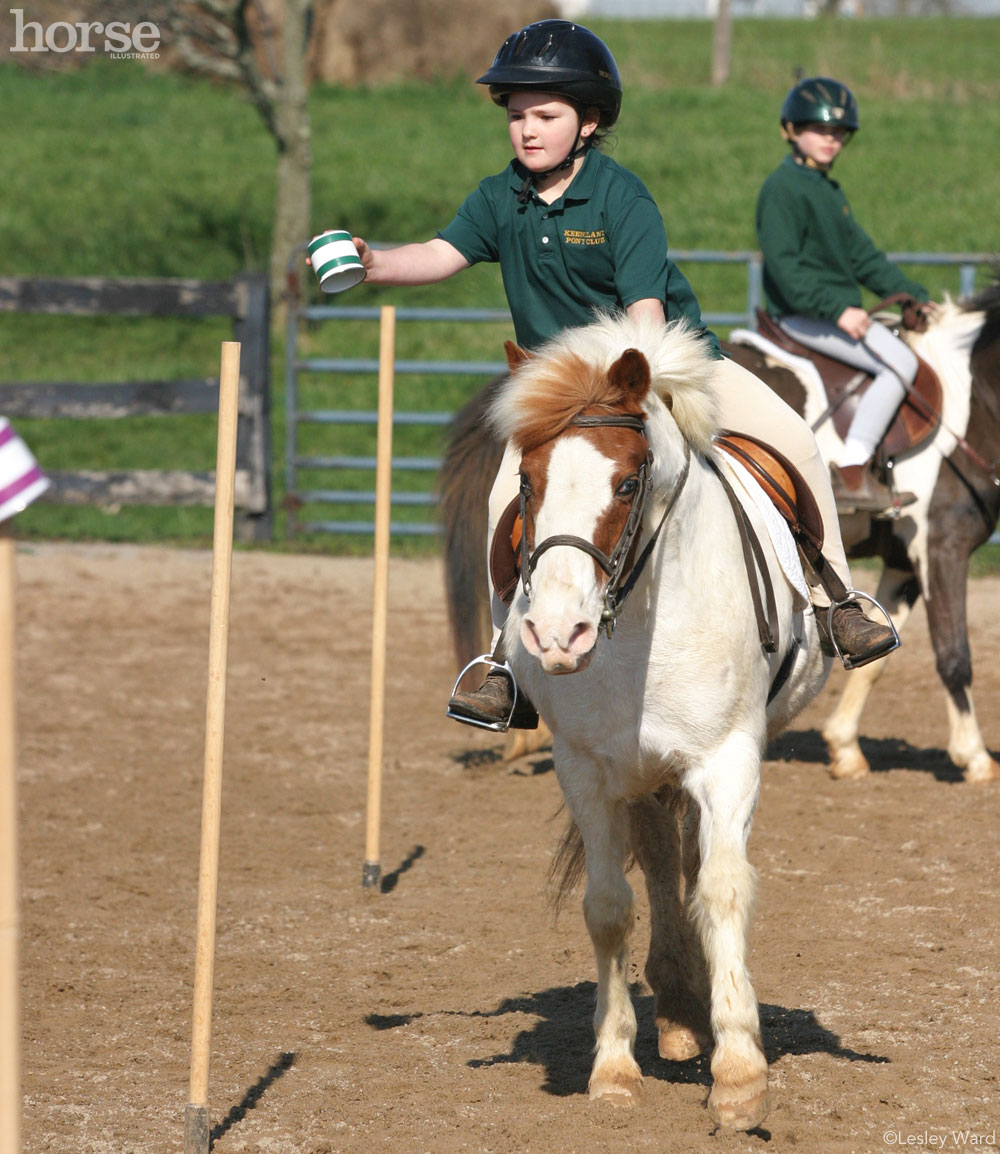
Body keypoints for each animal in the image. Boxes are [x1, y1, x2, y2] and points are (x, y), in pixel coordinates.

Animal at [484, 313, 830, 1126]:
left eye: (627, 482)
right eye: (527, 483)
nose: (557, 634)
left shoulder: (727, 758)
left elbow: (725, 889)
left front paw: (739, 1075)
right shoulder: (586, 768)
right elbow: (610, 906)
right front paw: (613, 1068)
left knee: (698, 866)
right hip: (639, 769)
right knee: (665, 859)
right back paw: (676, 1009)